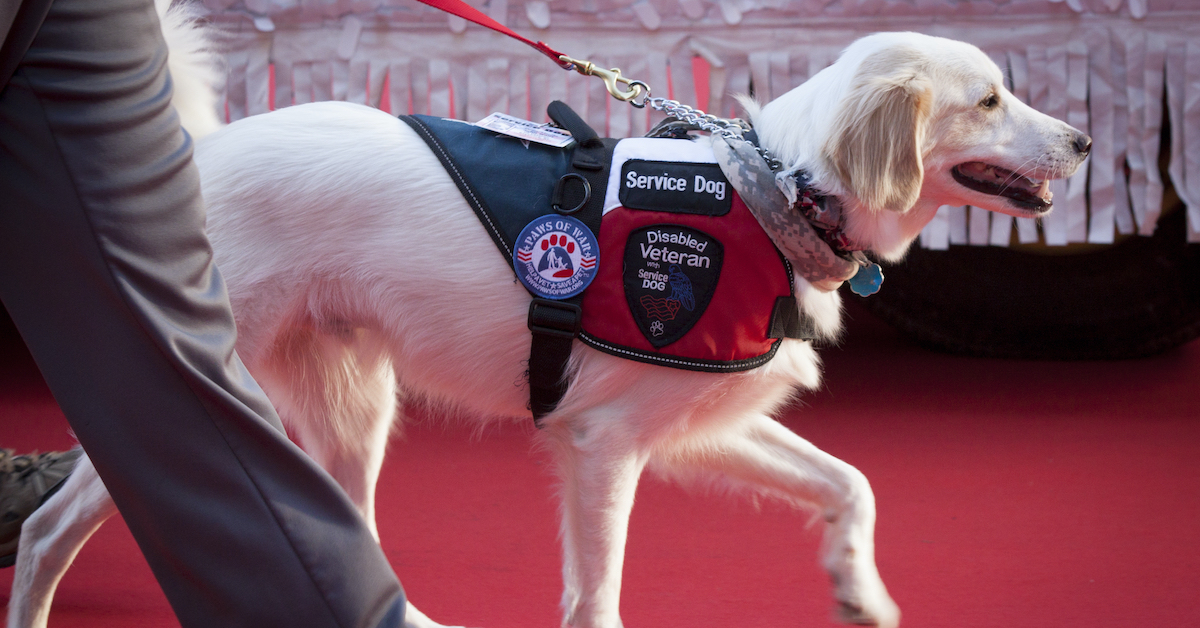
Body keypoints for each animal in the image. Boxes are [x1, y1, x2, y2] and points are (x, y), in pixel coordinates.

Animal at [4, 4, 1089, 628]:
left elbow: (851, 484)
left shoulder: (693, 425)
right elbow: (598, 596)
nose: (1082, 141)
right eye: (989, 100)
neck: (776, 191)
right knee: (51, 526)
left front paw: (858, 588)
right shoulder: (603, 445)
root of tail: (201, 154)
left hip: (350, 415)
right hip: (204, 379)